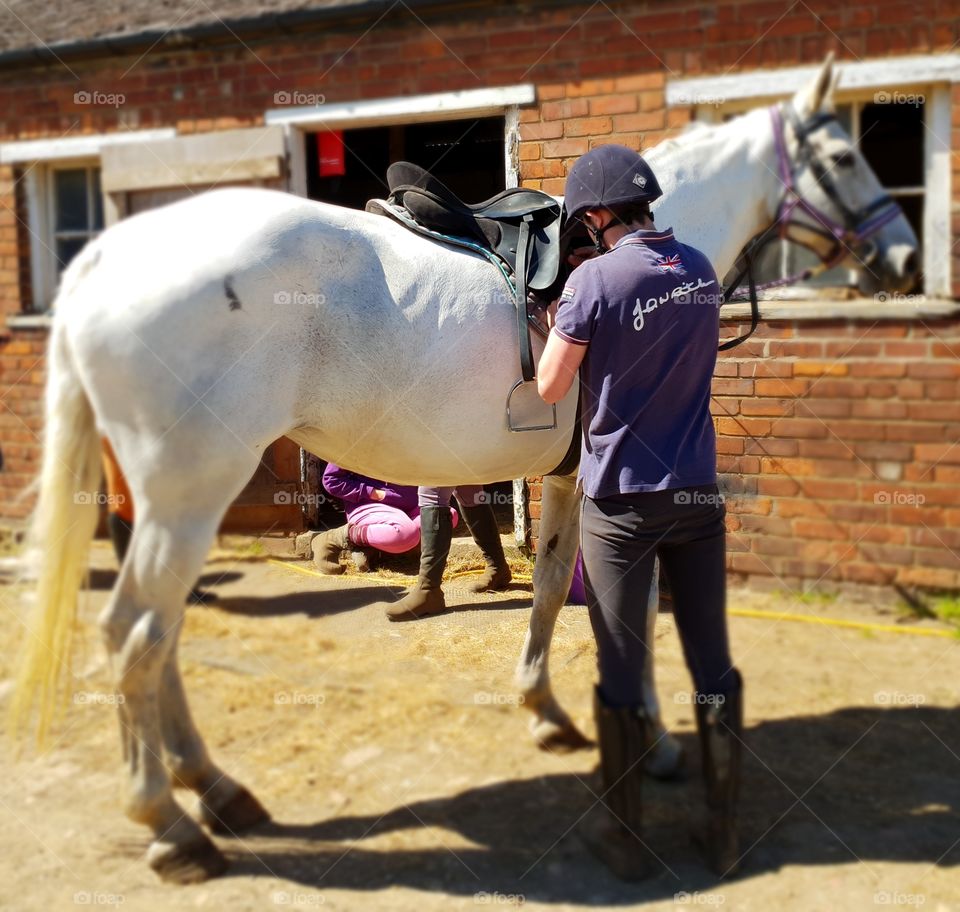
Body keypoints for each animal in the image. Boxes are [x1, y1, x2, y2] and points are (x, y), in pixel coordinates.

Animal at [11, 56, 917, 883]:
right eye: (844, 156)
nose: (906, 260)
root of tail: (105, 261)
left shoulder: (566, 476)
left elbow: (554, 586)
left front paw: (547, 710)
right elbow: (628, 609)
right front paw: (654, 743)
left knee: (158, 640)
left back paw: (215, 790)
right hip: (188, 497)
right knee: (137, 635)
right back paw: (171, 825)